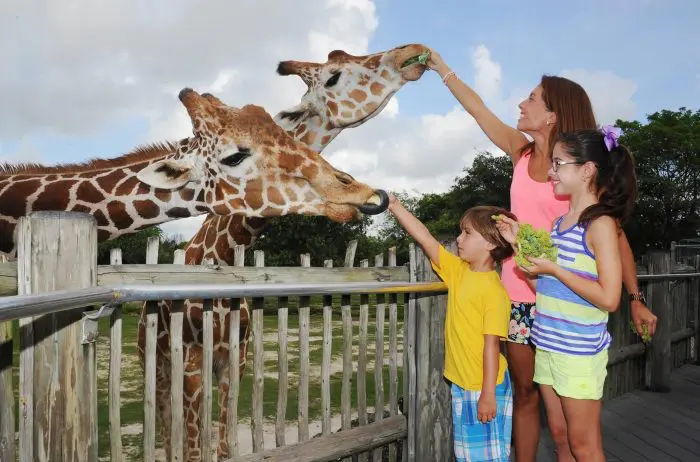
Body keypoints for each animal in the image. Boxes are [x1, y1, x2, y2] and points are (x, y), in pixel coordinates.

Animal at [144, 44, 430, 462]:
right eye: (334, 74)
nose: (414, 53)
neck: (223, 256)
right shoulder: (193, 361)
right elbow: (194, 444)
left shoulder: (235, 358)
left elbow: (224, 443)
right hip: (157, 358)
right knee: (168, 425)